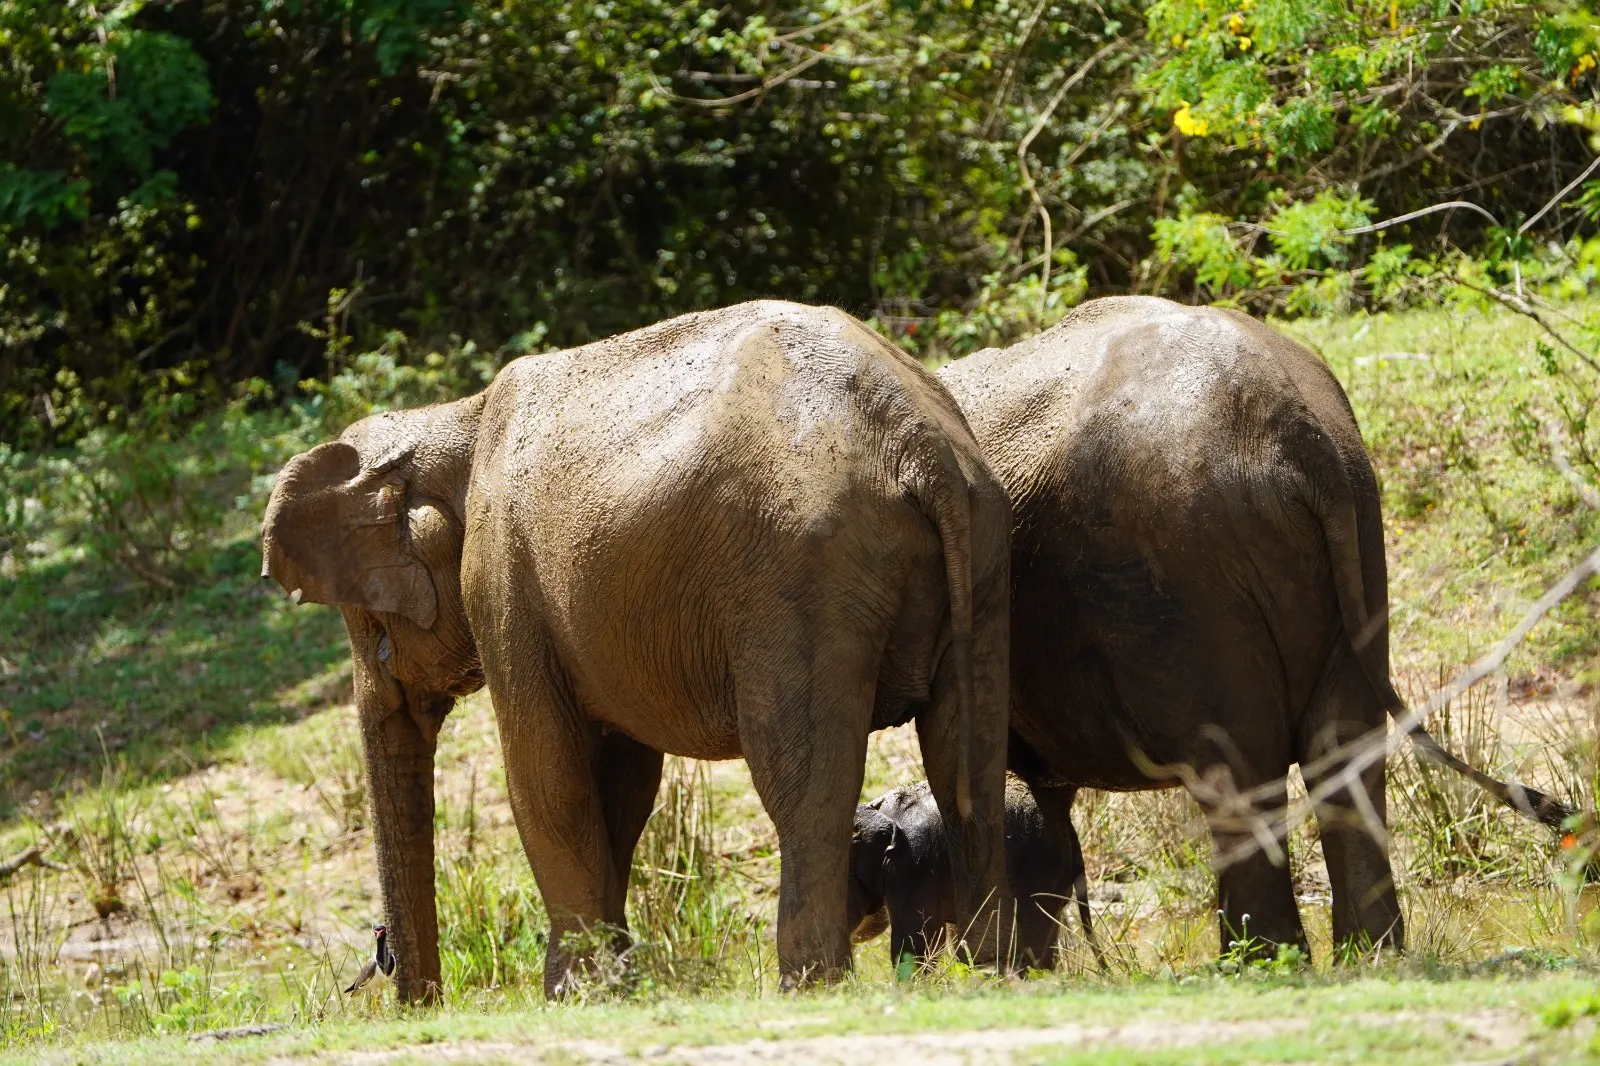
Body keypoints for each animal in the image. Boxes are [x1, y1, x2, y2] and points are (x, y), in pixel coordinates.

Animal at [261, 300, 1015, 1002]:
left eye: (374, 629)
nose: (413, 998)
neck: (455, 420)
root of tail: (919, 442)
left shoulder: (503, 584)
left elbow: (548, 777)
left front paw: (576, 994)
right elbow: (619, 786)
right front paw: (605, 984)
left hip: (805, 575)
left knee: (805, 785)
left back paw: (811, 984)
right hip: (980, 551)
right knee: (967, 763)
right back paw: (996, 968)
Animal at [938, 295, 1573, 960]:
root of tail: (1300, 439)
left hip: (1184, 570)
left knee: (1236, 764)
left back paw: (1257, 961)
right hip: (1356, 538)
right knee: (1341, 746)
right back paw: (1366, 954)